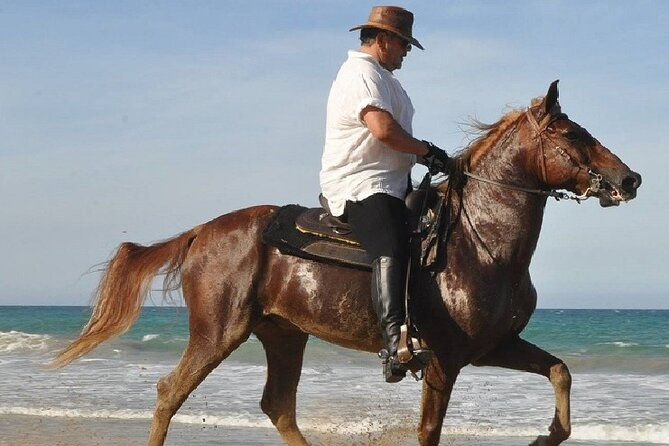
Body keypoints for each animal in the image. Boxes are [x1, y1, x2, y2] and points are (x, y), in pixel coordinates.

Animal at [53, 81, 641, 446]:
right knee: (171, 393)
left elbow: (560, 372)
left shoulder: (492, 347)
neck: (483, 241)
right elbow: (428, 431)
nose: (630, 179)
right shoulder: (445, 360)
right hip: (219, 332)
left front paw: (546, 435)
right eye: (572, 134)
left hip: (283, 335)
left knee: (278, 406)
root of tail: (202, 232)